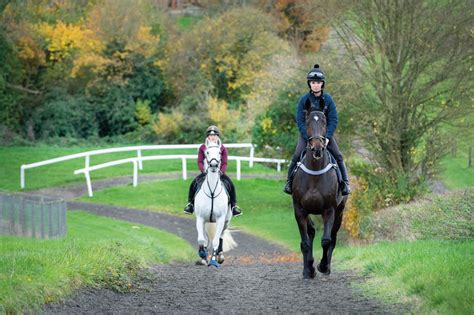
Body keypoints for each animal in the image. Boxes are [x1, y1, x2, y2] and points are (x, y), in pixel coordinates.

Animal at [193, 138, 234, 266]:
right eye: (207, 152)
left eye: (220, 152)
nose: (214, 165)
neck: (211, 192)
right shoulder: (200, 218)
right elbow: (201, 239)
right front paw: (203, 254)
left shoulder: (220, 219)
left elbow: (216, 240)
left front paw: (214, 260)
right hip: (206, 222)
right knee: (206, 238)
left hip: (226, 221)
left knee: (221, 236)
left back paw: (220, 256)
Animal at [290, 110, 346, 278]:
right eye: (308, 122)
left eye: (324, 122)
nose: (317, 148)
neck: (315, 172)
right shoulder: (299, 209)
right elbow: (305, 242)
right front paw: (308, 270)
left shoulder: (329, 210)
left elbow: (326, 240)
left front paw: (322, 266)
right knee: (311, 232)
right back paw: (308, 267)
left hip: (340, 212)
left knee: (332, 238)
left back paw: (326, 267)